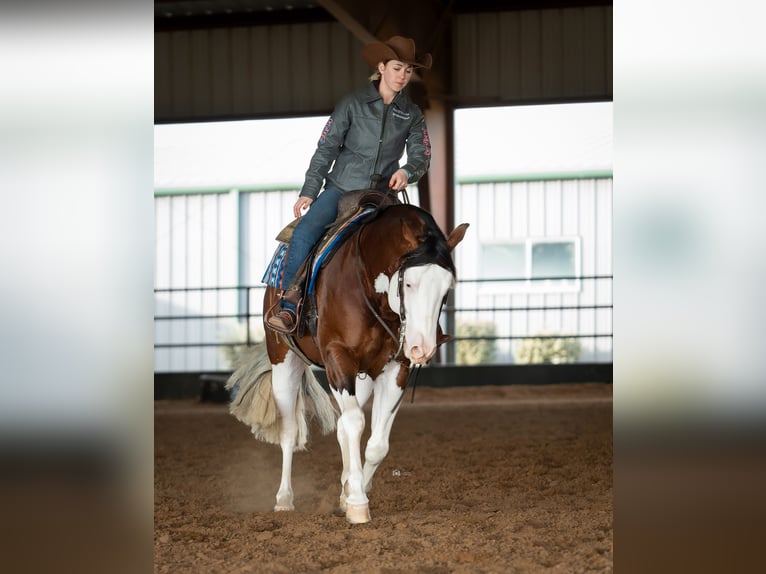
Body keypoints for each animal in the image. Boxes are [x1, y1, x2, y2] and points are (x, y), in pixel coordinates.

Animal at [228, 204, 468, 528]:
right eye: (409, 283)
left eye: (446, 289)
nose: (422, 348)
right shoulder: (337, 359)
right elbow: (355, 424)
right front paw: (357, 504)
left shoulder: (396, 369)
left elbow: (377, 443)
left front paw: (353, 492)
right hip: (284, 361)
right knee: (290, 431)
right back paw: (284, 500)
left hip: (362, 377)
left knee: (342, 427)